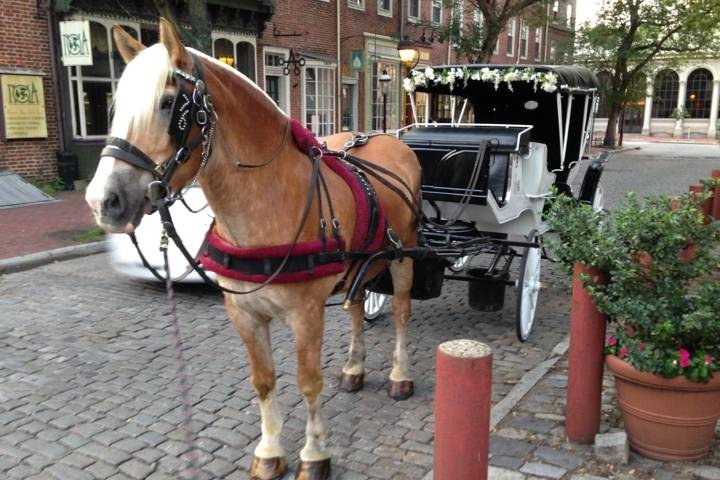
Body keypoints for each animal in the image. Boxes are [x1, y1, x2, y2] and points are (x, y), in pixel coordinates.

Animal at [85, 18, 421, 480]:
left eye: (169, 103)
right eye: (115, 104)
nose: (104, 200)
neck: (269, 200)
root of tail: (390, 139)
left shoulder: (306, 314)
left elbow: (308, 382)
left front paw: (314, 454)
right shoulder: (243, 314)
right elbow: (264, 381)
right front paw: (269, 451)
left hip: (403, 256)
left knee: (403, 314)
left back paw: (400, 375)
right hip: (359, 266)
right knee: (356, 309)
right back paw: (354, 367)